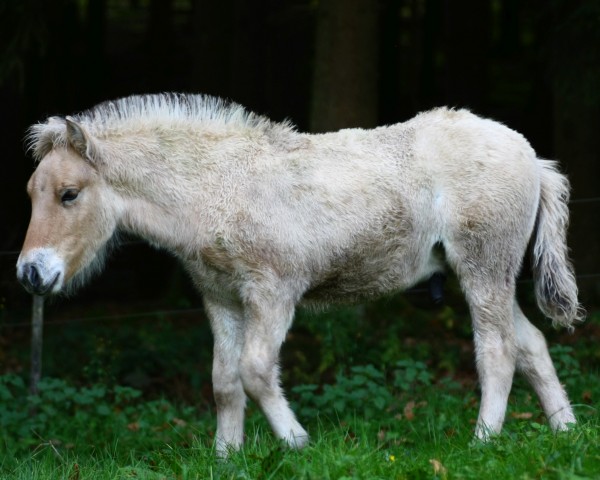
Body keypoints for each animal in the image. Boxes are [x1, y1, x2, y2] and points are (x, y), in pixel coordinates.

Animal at [17, 93, 580, 454]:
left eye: (70, 194)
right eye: (30, 193)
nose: (30, 273)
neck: (217, 186)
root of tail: (532, 155)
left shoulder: (272, 292)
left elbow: (255, 370)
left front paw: (296, 442)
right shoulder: (221, 298)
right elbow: (224, 380)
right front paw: (226, 457)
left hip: (483, 267)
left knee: (498, 351)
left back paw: (483, 440)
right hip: (492, 276)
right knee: (530, 343)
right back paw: (565, 430)